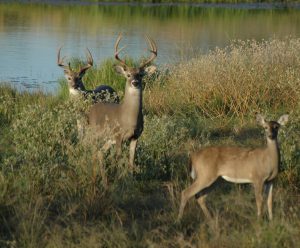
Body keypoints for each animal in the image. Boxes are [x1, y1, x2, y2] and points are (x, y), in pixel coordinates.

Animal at [86, 33, 157, 169]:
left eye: (140, 75)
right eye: (128, 75)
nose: (135, 82)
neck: (129, 118)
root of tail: (91, 109)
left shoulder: (135, 136)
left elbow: (131, 161)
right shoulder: (118, 136)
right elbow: (118, 159)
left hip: (108, 139)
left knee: (100, 153)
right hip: (94, 133)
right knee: (92, 150)